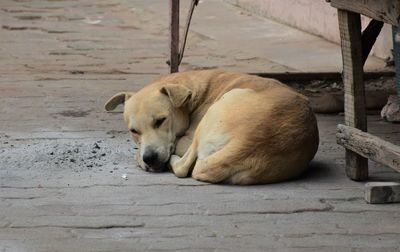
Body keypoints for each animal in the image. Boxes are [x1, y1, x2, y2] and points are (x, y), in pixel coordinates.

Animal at [105, 70, 318, 184]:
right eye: (134, 131)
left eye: (160, 120)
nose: (149, 158)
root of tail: (248, 142)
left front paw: (142, 159)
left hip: (218, 109)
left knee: (184, 167)